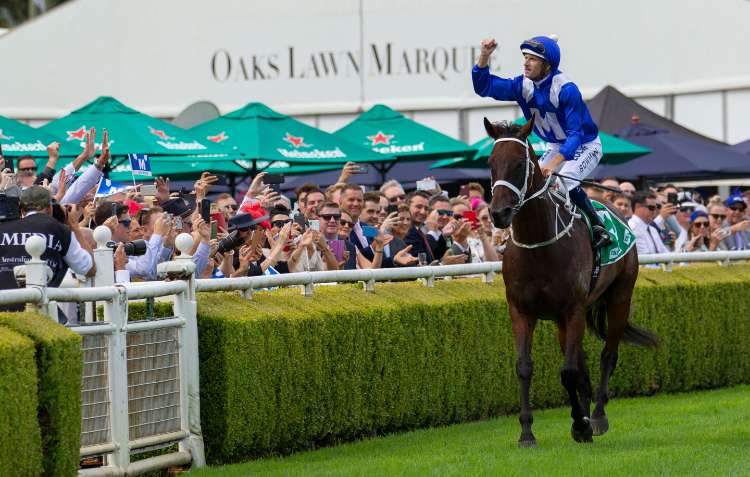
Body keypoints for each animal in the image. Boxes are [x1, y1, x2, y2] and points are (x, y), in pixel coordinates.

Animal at [484, 116, 659, 447]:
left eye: (519, 164)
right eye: (491, 163)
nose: (499, 213)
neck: (538, 244)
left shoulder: (573, 309)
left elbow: (567, 371)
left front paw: (581, 423)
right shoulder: (522, 311)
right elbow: (525, 367)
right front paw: (527, 432)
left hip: (619, 297)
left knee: (608, 355)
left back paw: (598, 417)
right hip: (562, 321)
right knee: (583, 365)